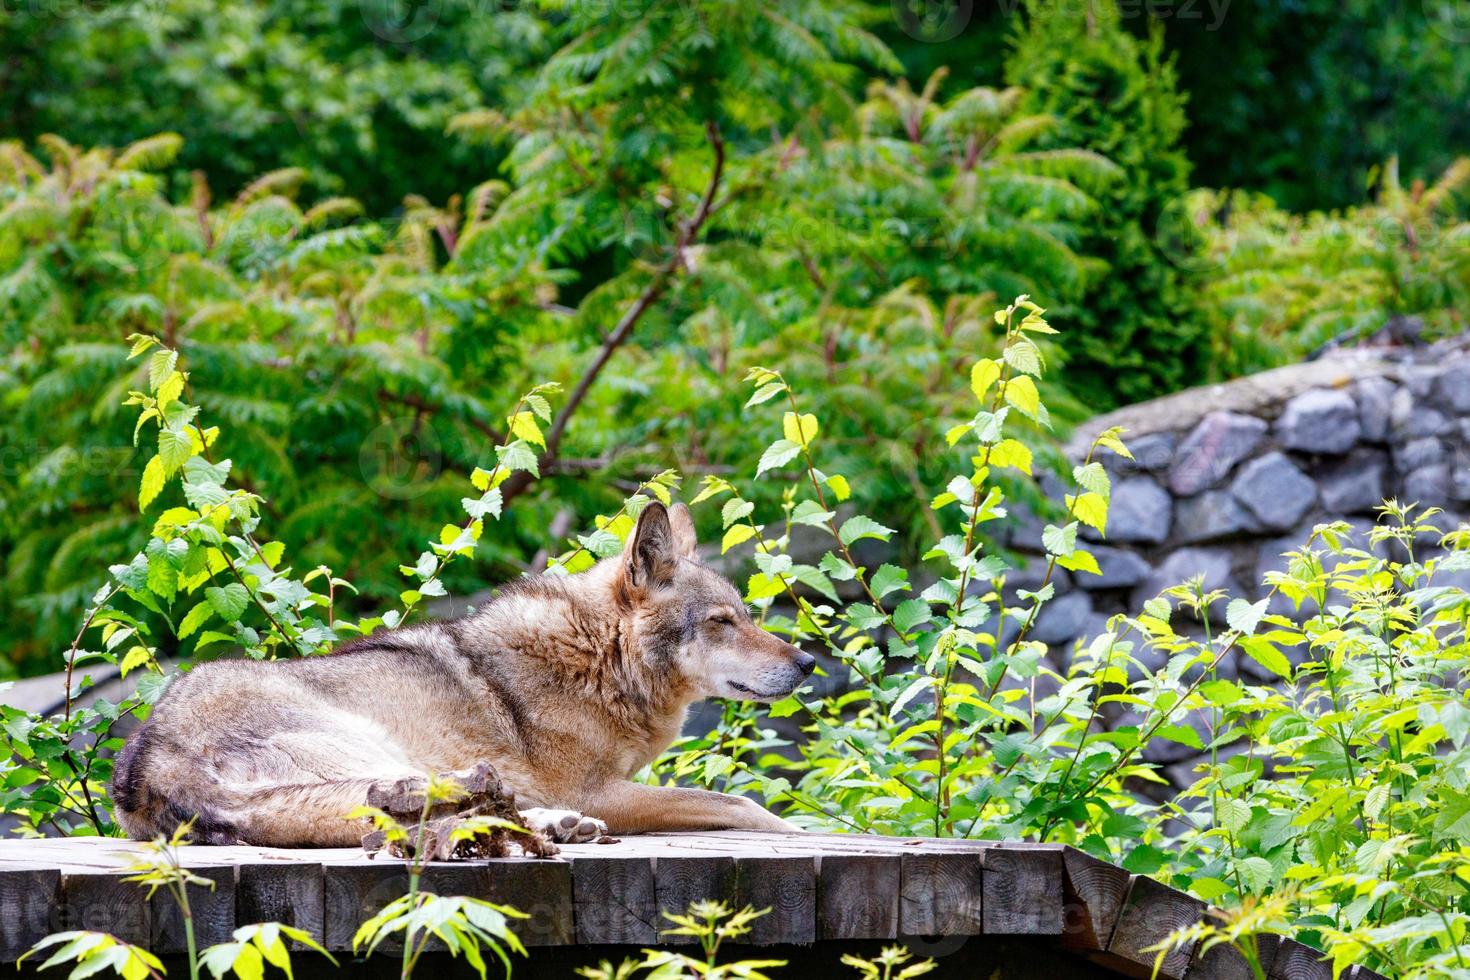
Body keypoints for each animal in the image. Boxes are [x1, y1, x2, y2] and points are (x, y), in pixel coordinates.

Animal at [111, 502, 817, 846]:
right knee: (405, 811)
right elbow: (739, 802)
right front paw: (810, 832)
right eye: (723, 621)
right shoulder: (598, 792)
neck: (598, 658)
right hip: (382, 753)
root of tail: (150, 764)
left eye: (747, 615)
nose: (809, 663)